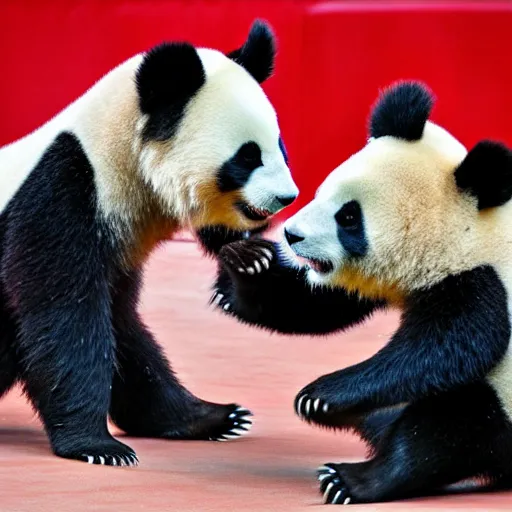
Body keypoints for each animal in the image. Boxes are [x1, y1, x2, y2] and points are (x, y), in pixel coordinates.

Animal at [0, 19, 298, 468]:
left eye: (278, 145)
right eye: (247, 157)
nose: (287, 198)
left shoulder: (120, 244)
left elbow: (123, 332)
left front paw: (250, 256)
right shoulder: (62, 193)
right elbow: (66, 316)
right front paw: (95, 445)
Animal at [210, 81, 512, 504]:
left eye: (349, 217)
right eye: (323, 191)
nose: (291, 234)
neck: (468, 230)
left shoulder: (479, 279)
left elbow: (451, 346)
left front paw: (323, 396)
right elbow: (317, 305)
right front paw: (247, 264)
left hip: (502, 408)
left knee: (445, 428)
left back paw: (352, 478)